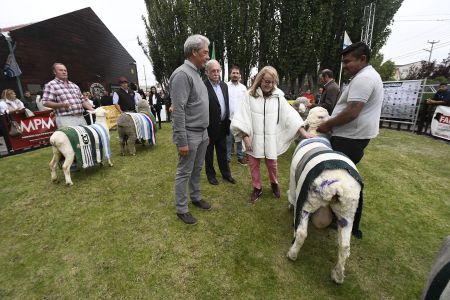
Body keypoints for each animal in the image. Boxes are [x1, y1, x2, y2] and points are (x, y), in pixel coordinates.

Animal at [286, 106, 364, 284]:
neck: (315, 134)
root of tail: (336, 187)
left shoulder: (294, 182)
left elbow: (292, 197)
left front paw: (290, 206)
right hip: (348, 211)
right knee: (345, 247)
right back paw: (338, 275)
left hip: (308, 203)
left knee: (301, 233)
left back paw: (292, 254)